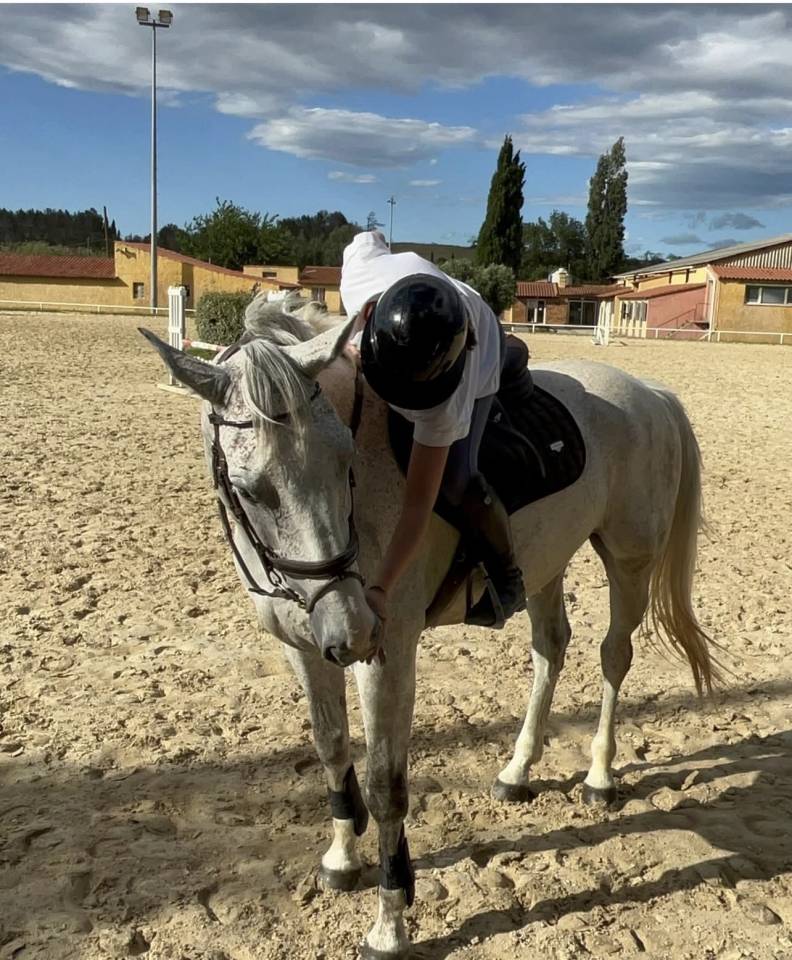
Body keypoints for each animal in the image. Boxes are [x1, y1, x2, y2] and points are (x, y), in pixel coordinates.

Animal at [140, 294, 718, 958]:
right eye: (250, 489)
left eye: (344, 461)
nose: (350, 626)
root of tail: (649, 392)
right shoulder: (303, 651)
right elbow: (331, 748)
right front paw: (342, 856)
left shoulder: (387, 657)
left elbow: (385, 785)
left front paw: (390, 922)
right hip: (547, 562)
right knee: (550, 649)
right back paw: (517, 770)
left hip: (628, 561)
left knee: (613, 657)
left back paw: (599, 775)